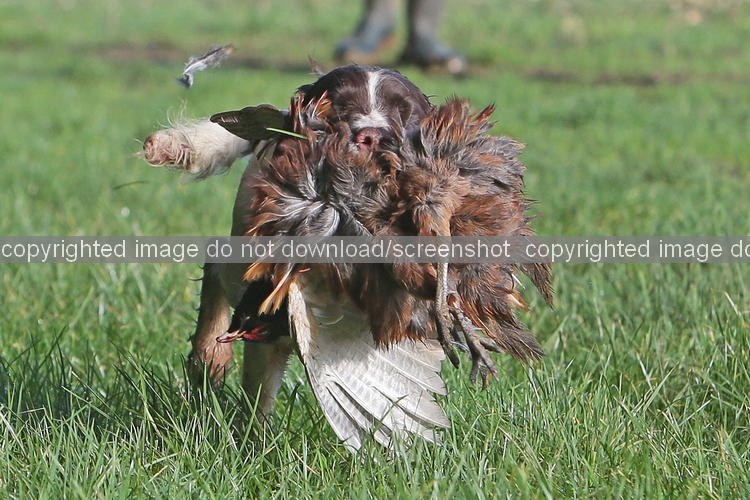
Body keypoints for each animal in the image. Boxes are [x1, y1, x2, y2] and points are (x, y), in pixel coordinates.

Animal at [143, 65, 552, 450]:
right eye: (338, 106)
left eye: (404, 109)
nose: (373, 136)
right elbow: (261, 391)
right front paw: (251, 443)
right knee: (217, 267)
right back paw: (209, 358)